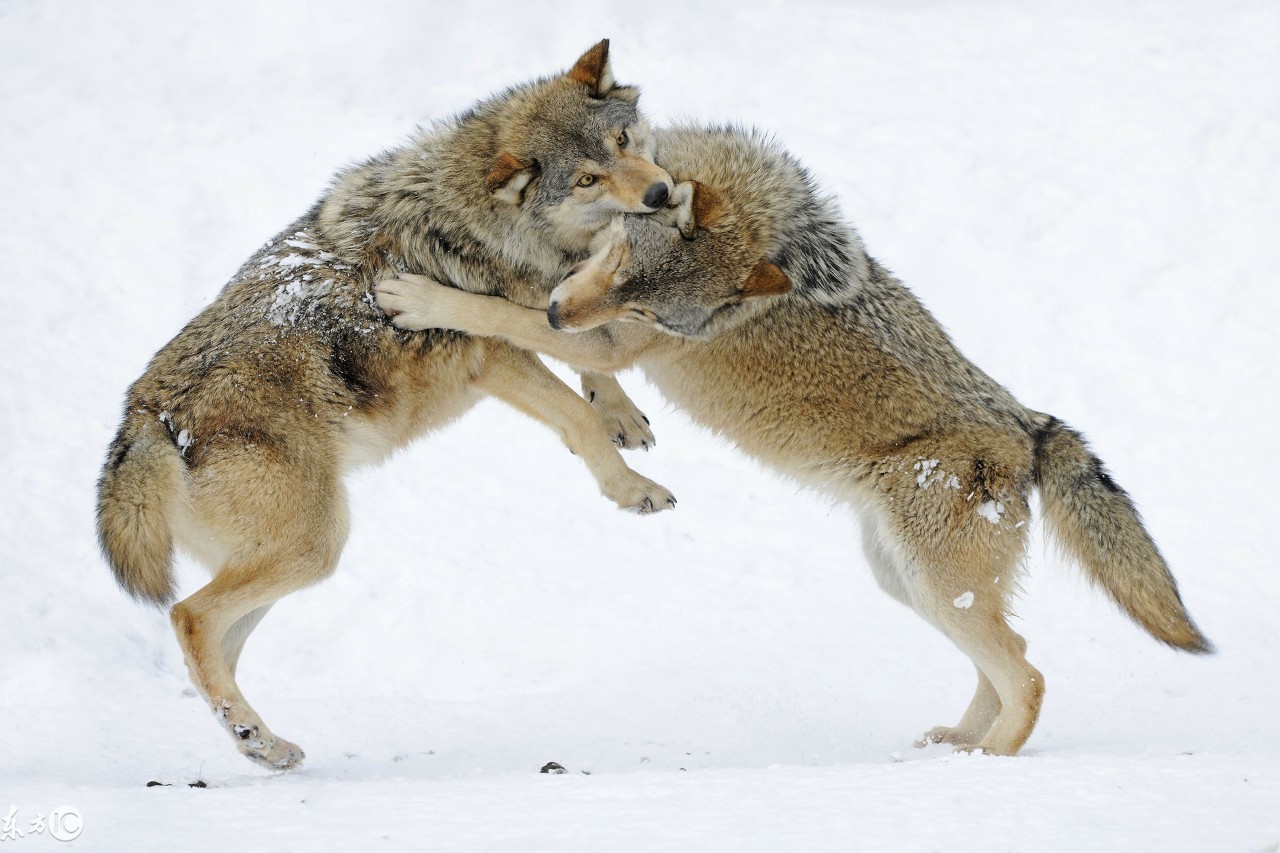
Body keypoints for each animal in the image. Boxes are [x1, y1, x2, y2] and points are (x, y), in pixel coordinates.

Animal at [97, 41, 680, 768]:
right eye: (587, 179)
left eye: (623, 141)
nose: (661, 193)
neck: (491, 221)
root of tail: (147, 416)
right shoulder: (494, 358)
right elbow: (574, 408)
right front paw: (631, 487)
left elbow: (588, 356)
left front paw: (622, 414)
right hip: (316, 545)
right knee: (188, 616)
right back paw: (255, 734)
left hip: (294, 556)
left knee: (215, 643)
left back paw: (261, 742)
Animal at [373, 122, 1213, 753]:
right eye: (617, 258)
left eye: (647, 309)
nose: (558, 313)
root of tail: (1028, 428)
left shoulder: (614, 340)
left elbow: (501, 314)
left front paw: (419, 296)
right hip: (907, 582)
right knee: (1013, 659)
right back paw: (957, 743)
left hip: (934, 585)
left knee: (1030, 676)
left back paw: (988, 759)